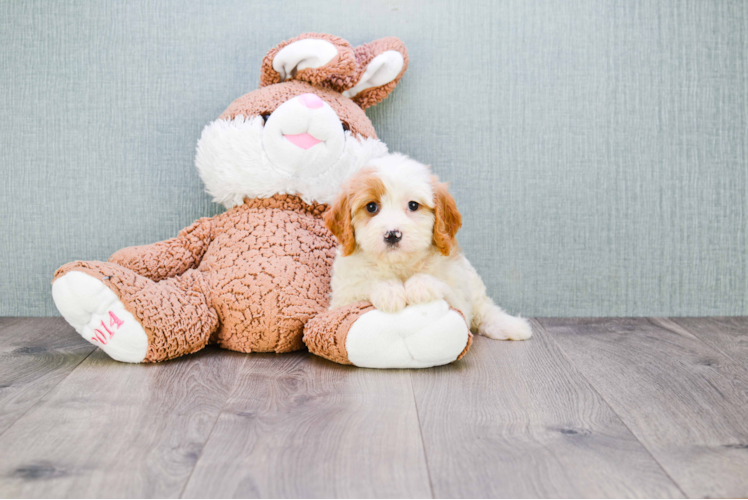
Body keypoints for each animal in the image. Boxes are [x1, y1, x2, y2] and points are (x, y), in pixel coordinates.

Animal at [322, 152, 532, 340]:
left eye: (413, 205)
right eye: (371, 207)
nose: (392, 234)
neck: (399, 265)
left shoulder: (458, 292)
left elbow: (442, 285)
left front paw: (420, 285)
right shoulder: (342, 298)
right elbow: (366, 283)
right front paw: (388, 290)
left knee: (484, 309)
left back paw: (511, 326)